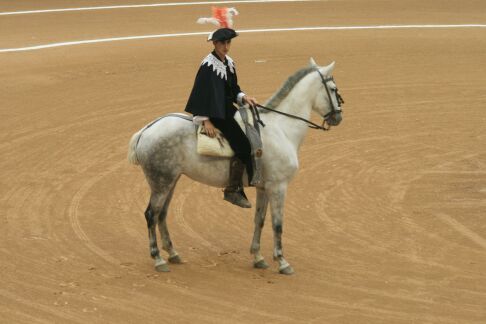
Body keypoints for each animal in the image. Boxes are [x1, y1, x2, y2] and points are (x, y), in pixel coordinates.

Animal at [127, 57, 344, 274]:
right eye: (333, 89)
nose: (338, 117)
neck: (281, 128)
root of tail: (146, 130)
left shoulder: (264, 188)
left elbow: (260, 220)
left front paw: (258, 257)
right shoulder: (278, 187)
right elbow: (277, 224)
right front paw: (282, 262)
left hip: (171, 181)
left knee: (162, 214)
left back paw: (173, 254)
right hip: (161, 183)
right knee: (151, 215)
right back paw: (158, 259)